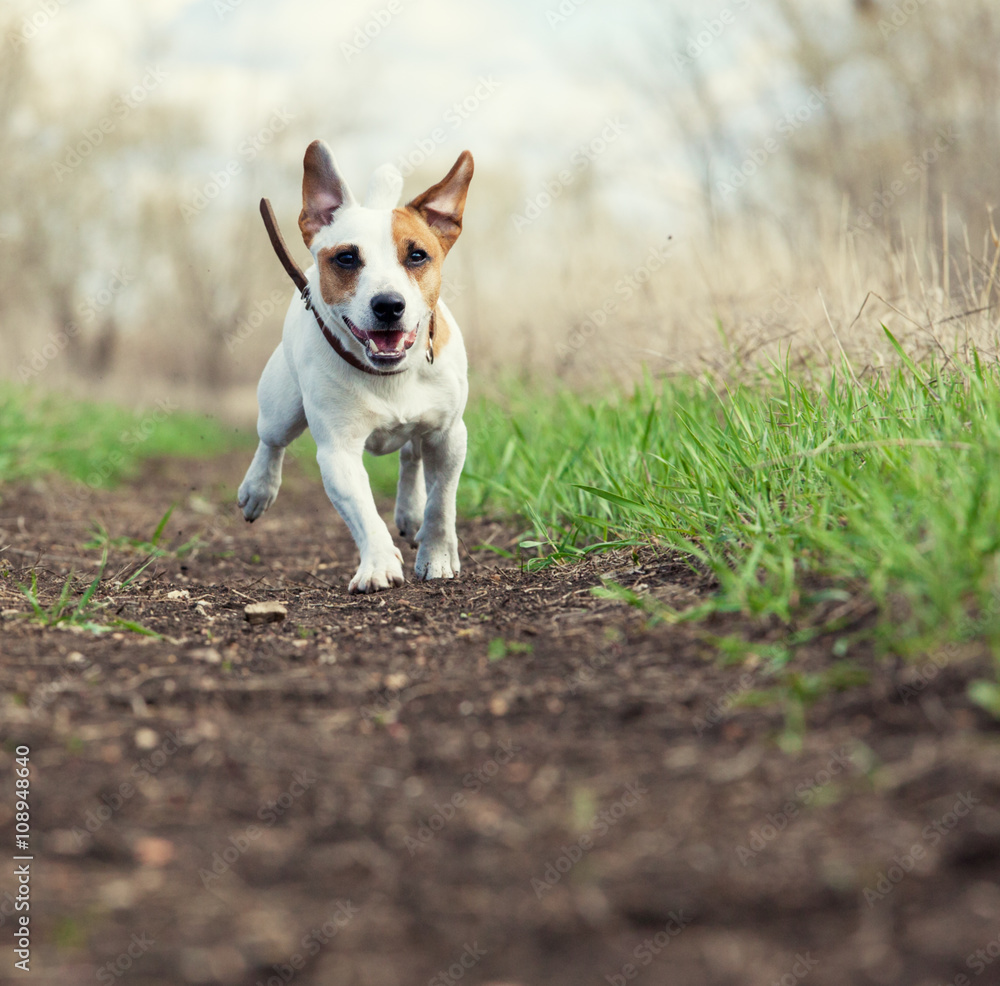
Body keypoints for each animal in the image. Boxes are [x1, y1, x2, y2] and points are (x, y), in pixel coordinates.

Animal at [237, 138, 472, 592]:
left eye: (418, 255)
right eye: (346, 258)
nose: (389, 305)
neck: (390, 374)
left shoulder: (449, 434)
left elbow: (441, 502)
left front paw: (436, 555)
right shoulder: (338, 450)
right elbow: (362, 511)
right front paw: (378, 564)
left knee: (412, 456)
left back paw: (410, 509)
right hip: (282, 407)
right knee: (271, 440)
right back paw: (258, 488)